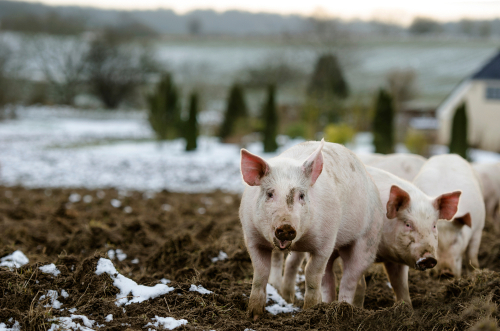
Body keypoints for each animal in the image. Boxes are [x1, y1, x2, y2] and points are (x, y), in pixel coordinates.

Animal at [238, 139, 382, 320]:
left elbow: (312, 274)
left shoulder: (325, 242)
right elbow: (260, 273)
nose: (286, 226)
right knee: (325, 275)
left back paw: (345, 309)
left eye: (301, 195)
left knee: (349, 277)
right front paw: (254, 315)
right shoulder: (252, 238)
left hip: (369, 238)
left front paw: (308, 311)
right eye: (270, 194)